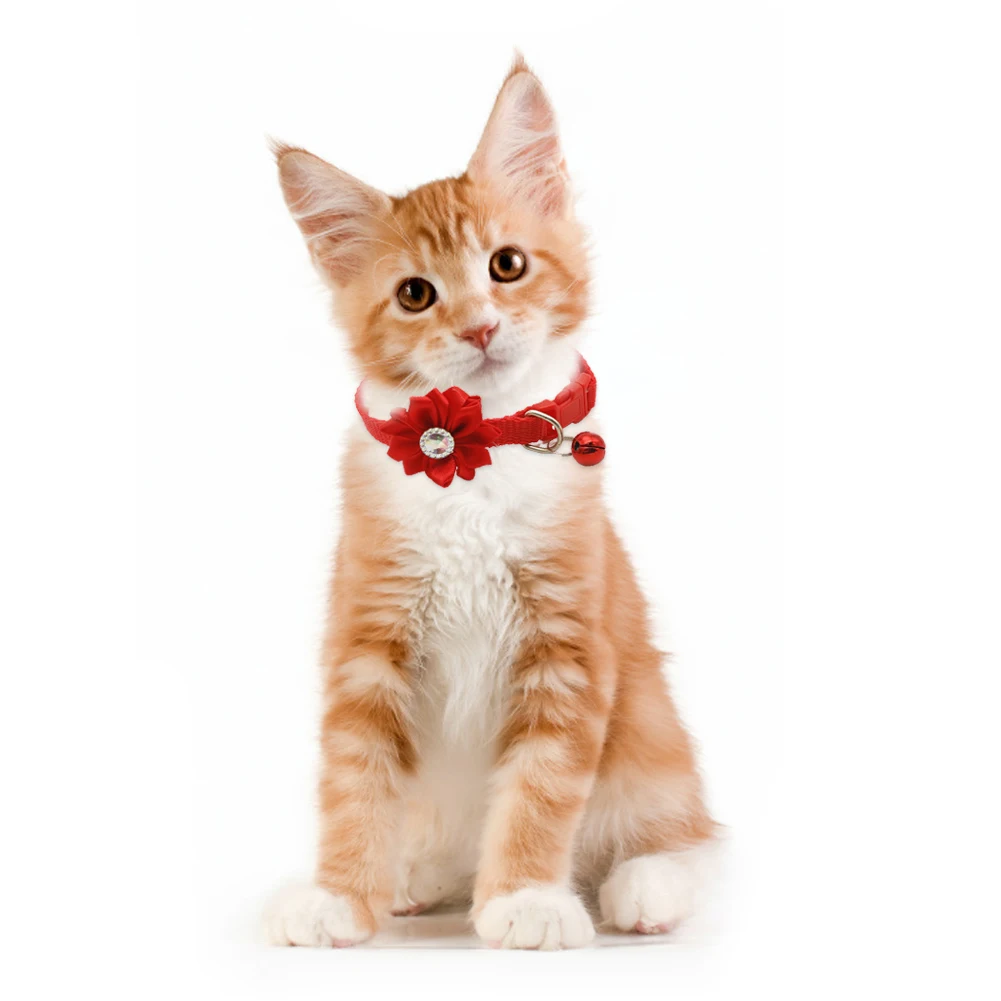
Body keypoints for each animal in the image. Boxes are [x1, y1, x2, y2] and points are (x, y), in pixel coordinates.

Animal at [265, 55, 717, 950]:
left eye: (506, 266)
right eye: (414, 293)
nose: (477, 328)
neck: (471, 454)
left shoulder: (570, 647)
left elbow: (540, 789)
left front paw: (525, 899)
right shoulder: (366, 637)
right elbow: (352, 779)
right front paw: (340, 892)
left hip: (651, 736)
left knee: (688, 835)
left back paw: (645, 884)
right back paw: (414, 877)